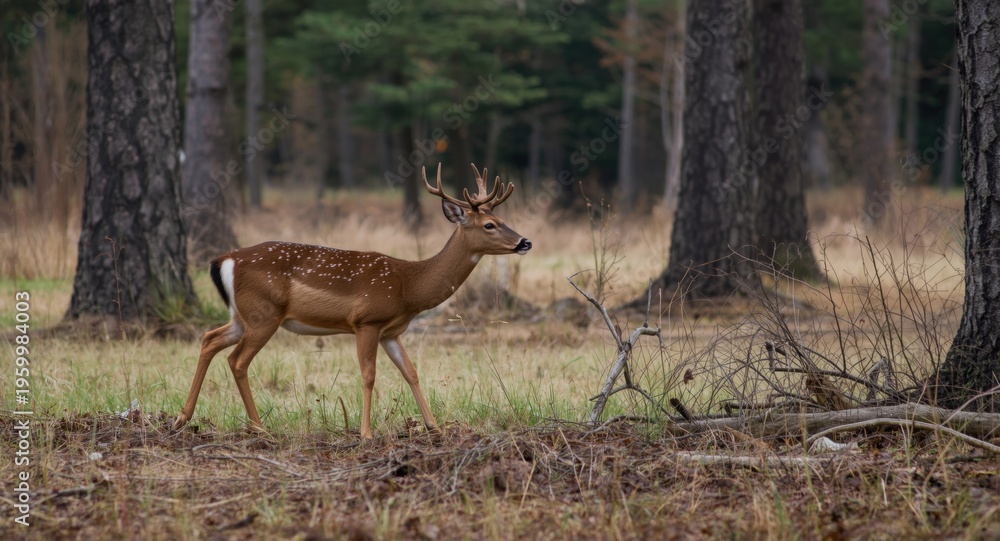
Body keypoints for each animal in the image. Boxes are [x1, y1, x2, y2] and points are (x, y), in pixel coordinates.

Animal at [172, 164, 532, 438]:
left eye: (503, 221)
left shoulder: (391, 331)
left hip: (242, 315)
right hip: (264, 314)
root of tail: (223, 260)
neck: (408, 287)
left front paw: (435, 427)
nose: (525, 242)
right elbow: (369, 375)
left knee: (209, 338)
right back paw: (259, 427)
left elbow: (411, 372)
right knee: (237, 360)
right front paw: (366, 433)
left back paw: (182, 417)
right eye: (490, 224)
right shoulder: (367, 321)